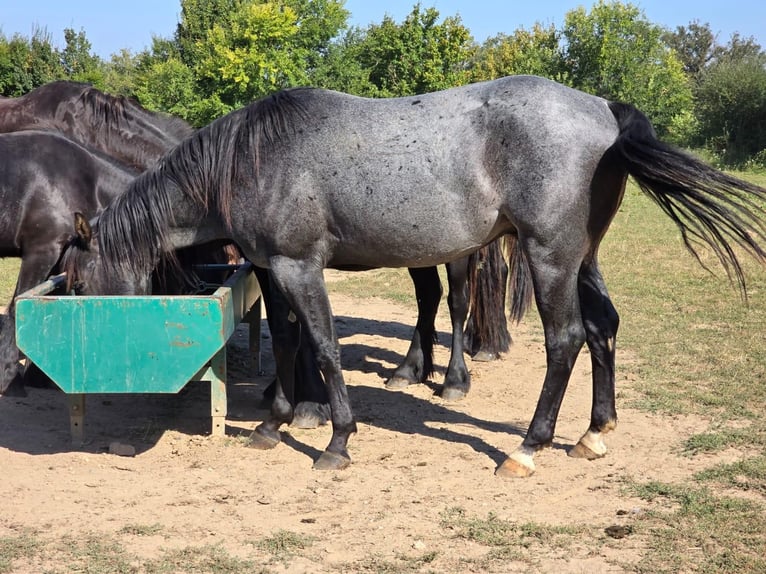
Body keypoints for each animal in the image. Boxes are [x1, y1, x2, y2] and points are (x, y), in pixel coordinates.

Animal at [61, 75, 766, 476]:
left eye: (76, 286)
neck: (252, 158)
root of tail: (603, 109)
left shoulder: (300, 267)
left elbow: (324, 347)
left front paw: (337, 442)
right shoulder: (271, 268)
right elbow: (288, 343)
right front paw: (273, 423)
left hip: (549, 256)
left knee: (564, 340)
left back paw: (527, 447)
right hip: (581, 257)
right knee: (603, 328)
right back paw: (595, 433)